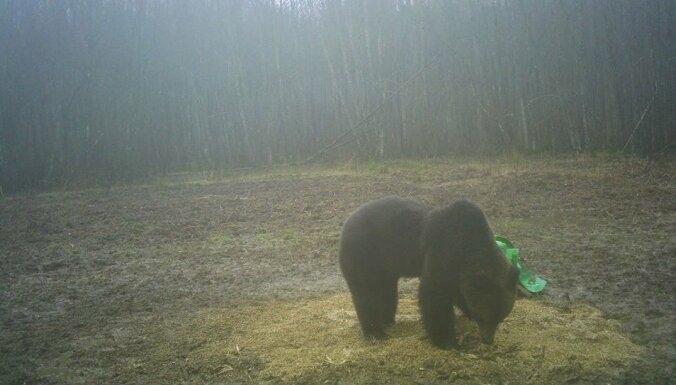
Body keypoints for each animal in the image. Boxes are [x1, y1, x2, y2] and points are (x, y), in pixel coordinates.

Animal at [338, 196, 428, 338]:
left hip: (384, 267)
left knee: (386, 291)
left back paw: (387, 321)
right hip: (362, 257)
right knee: (366, 293)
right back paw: (375, 334)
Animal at [420, 200, 520, 346]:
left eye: (501, 318)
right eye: (485, 317)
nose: (488, 340)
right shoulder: (443, 253)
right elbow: (435, 294)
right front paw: (446, 340)